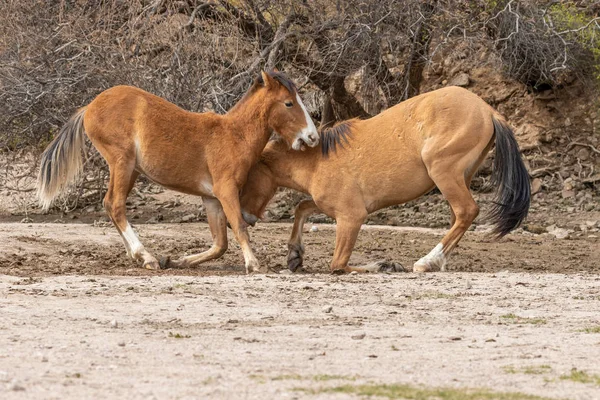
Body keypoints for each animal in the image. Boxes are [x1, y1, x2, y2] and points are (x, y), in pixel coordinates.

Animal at [36, 70, 318, 274]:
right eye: (289, 103)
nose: (312, 137)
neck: (233, 135)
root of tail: (90, 106)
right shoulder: (226, 191)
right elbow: (238, 226)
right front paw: (254, 264)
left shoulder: (211, 198)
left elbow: (220, 244)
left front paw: (177, 260)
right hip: (121, 162)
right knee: (115, 205)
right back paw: (146, 257)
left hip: (131, 170)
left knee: (110, 205)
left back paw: (138, 256)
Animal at [239, 86, 528, 274]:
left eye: (246, 176)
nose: (244, 217)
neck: (318, 160)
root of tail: (488, 111)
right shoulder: (329, 207)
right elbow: (301, 207)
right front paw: (294, 255)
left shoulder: (352, 217)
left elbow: (339, 264)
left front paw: (386, 265)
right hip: (460, 178)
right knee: (457, 217)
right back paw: (438, 262)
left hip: (445, 173)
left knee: (466, 212)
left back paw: (426, 262)